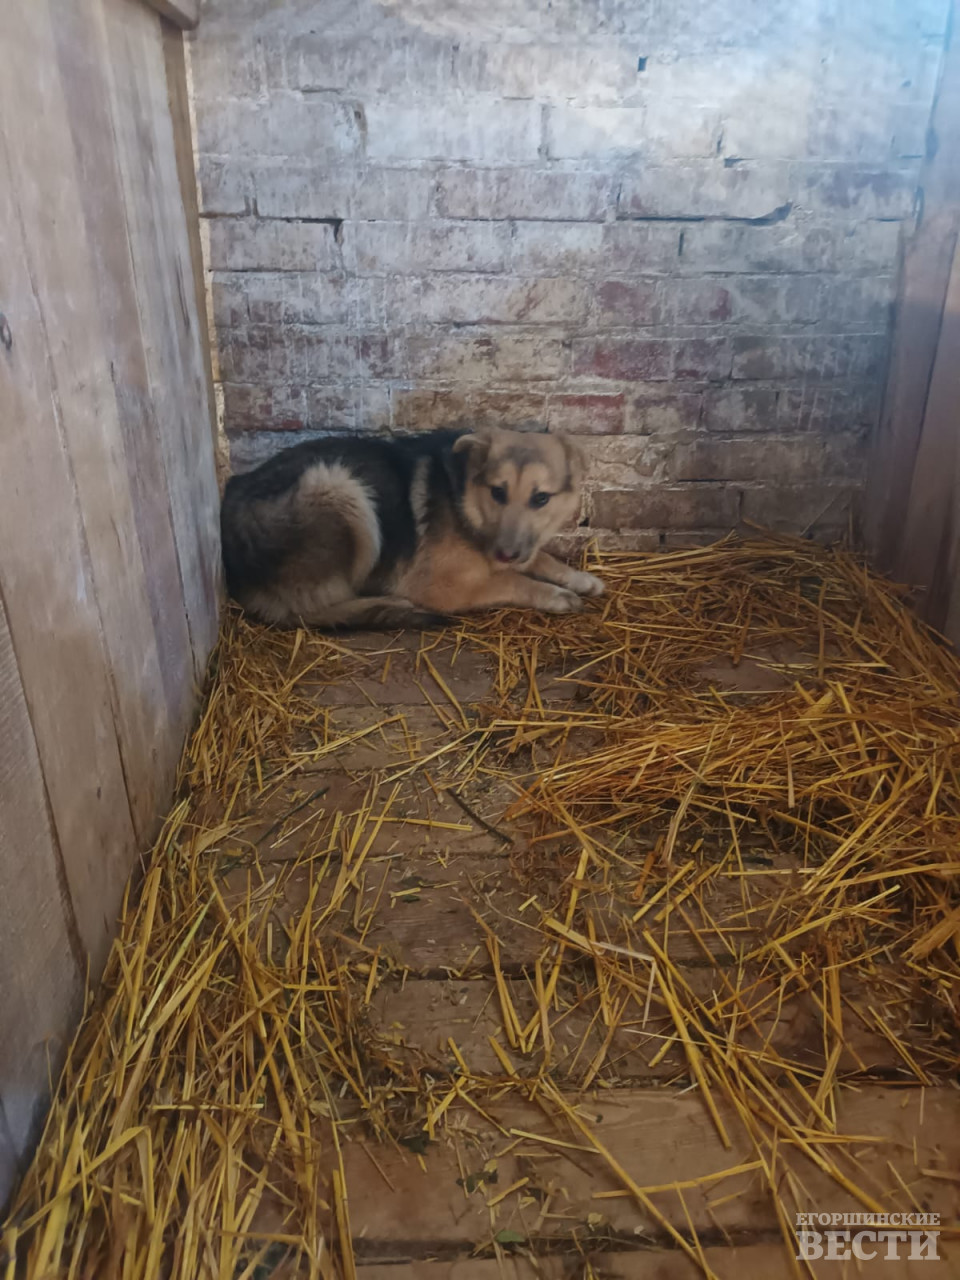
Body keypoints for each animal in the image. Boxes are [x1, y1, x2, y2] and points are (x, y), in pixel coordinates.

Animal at [221, 430, 604, 629]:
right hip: (338, 484)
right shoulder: (444, 587)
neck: (464, 498)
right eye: (498, 492)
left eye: (541, 498)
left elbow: (541, 558)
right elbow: (512, 580)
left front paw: (580, 578)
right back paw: (389, 604)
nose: (506, 552)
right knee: (310, 609)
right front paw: (554, 595)